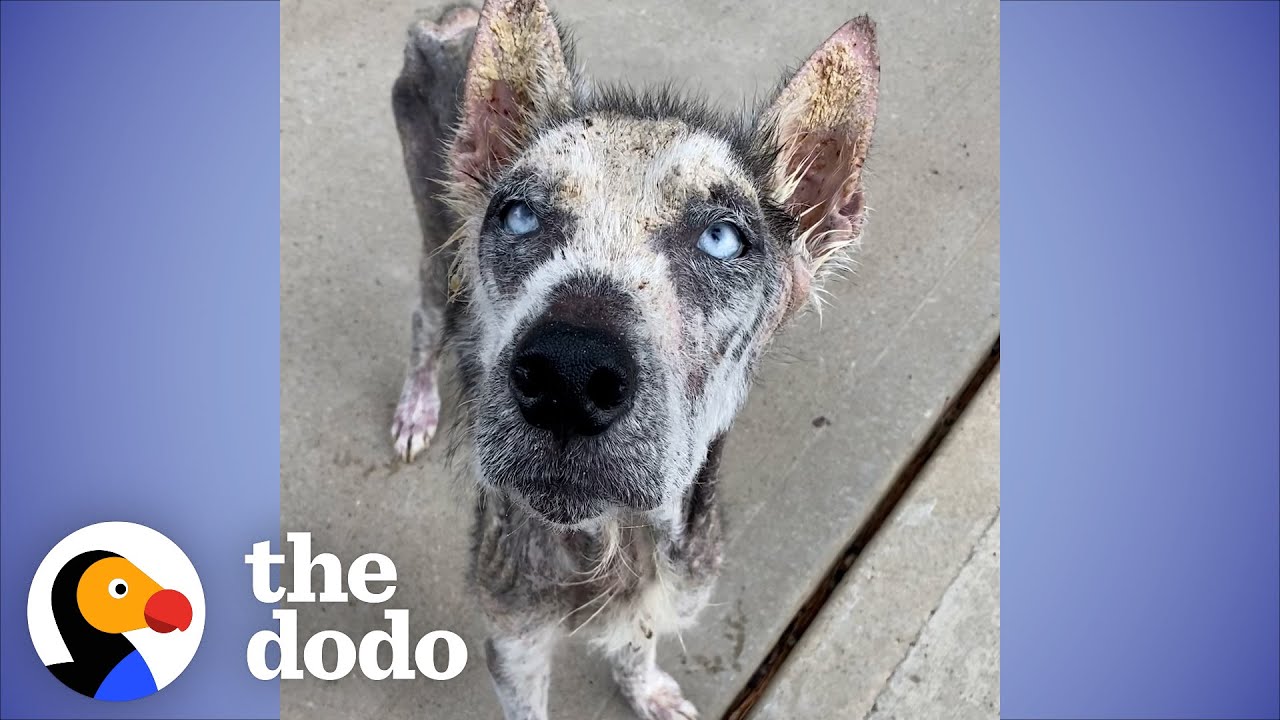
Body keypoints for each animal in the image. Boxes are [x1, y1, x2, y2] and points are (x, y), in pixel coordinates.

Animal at [384, 2, 875, 712]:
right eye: (518, 214)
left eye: (722, 238)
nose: (567, 376)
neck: (614, 542)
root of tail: (457, 20)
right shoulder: (512, 644)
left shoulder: (668, 588)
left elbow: (637, 643)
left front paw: (647, 692)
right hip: (435, 249)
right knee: (425, 325)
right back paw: (416, 409)